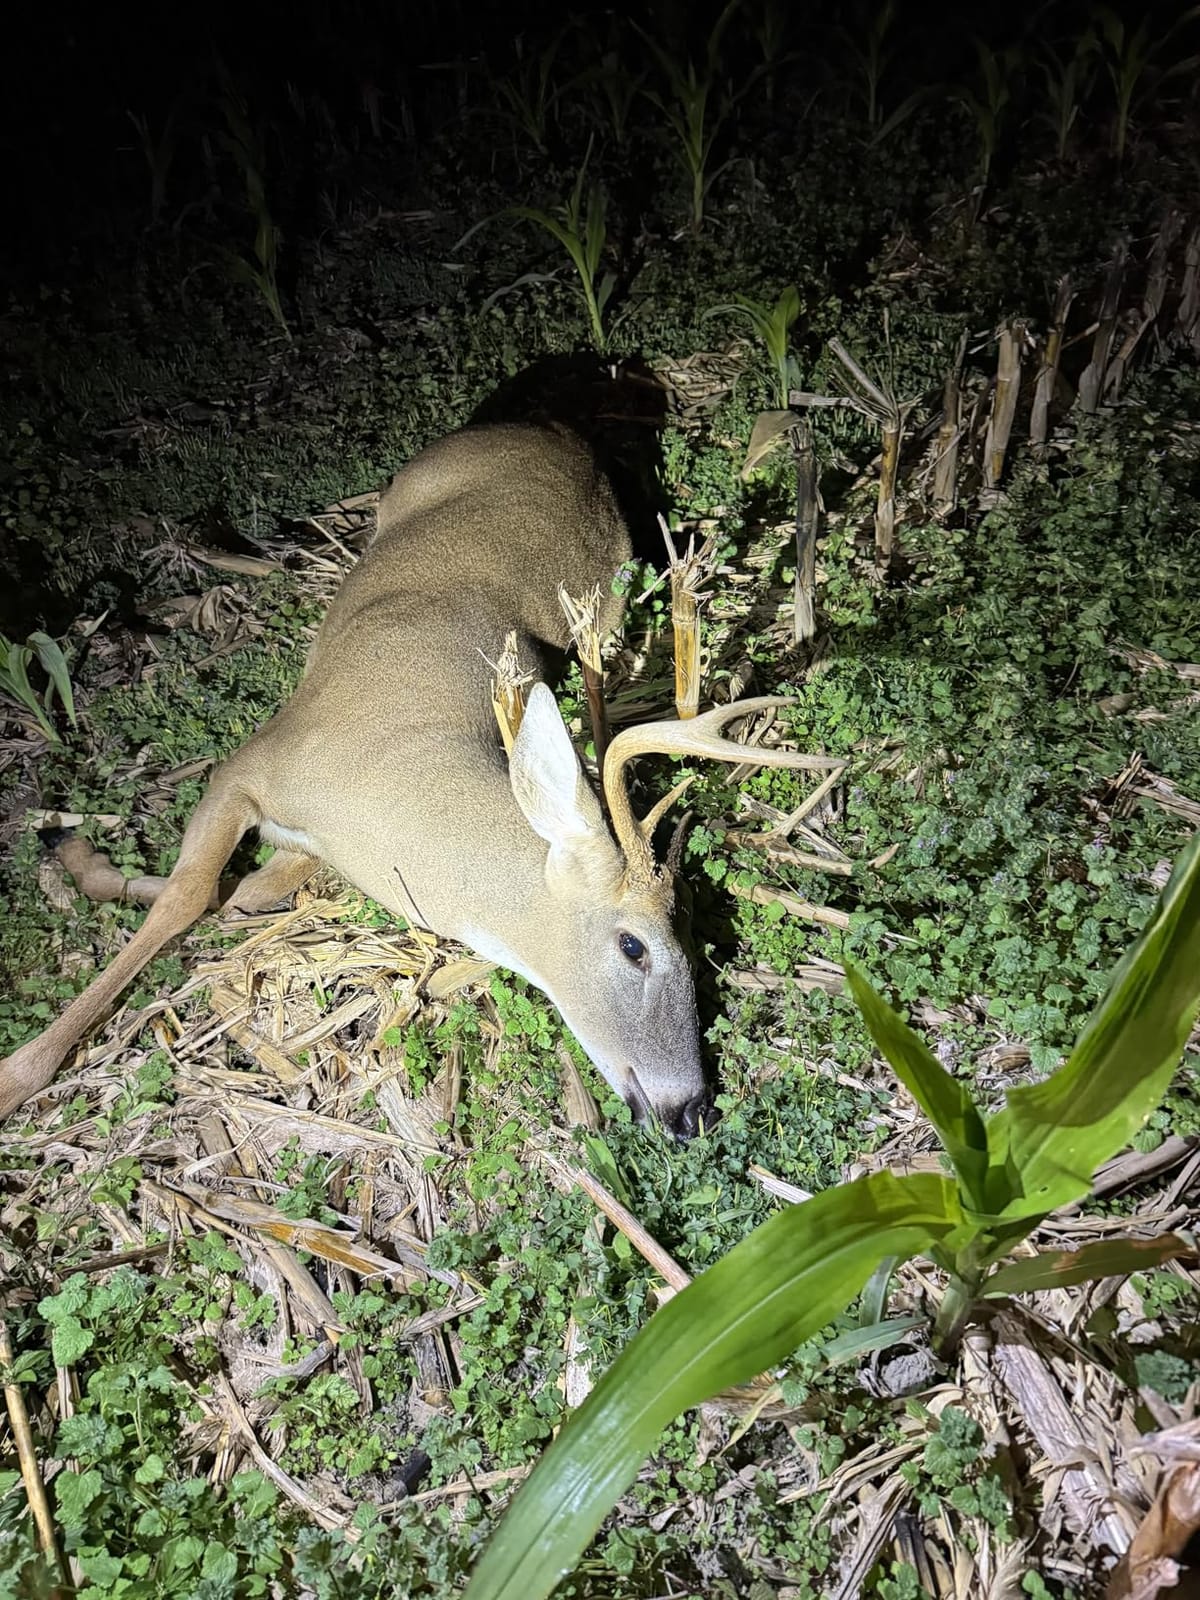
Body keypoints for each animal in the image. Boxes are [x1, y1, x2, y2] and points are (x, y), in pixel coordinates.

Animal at [0, 419, 815, 1137]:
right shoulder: (255, 762)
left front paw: (77, 858)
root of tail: (555, 431)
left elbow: (236, 896)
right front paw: (20, 1073)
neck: (389, 797)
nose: (693, 1111)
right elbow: (190, 894)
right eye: (634, 947)